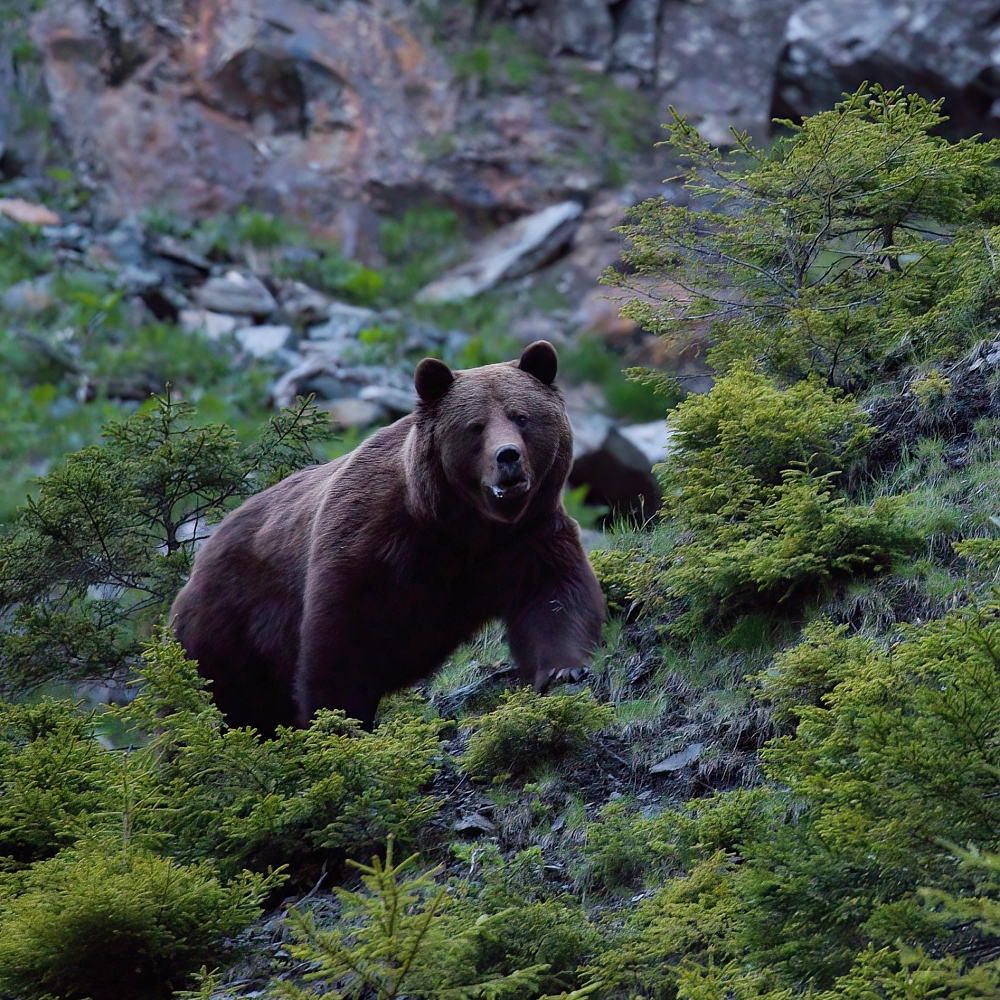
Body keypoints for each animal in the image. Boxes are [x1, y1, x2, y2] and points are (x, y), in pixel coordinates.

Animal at [171, 340, 604, 732]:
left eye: (521, 417)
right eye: (476, 426)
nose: (508, 456)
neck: (463, 528)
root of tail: (201, 556)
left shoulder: (524, 539)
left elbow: (554, 596)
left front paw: (563, 669)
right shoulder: (371, 543)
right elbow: (340, 640)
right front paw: (340, 721)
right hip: (228, 623)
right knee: (211, 697)